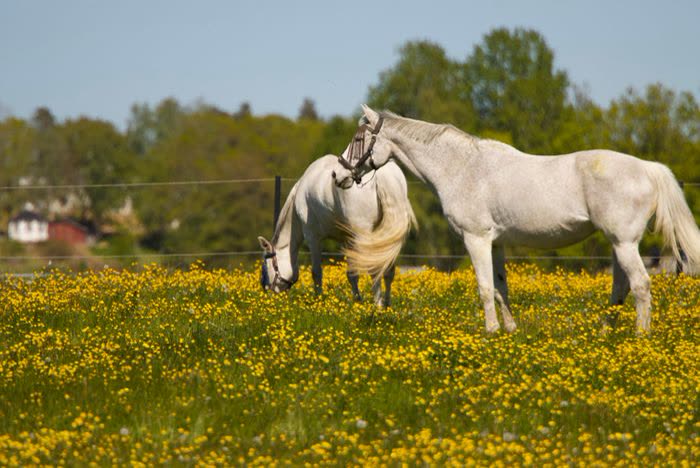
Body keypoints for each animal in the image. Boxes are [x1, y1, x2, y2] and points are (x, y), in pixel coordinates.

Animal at [258, 152, 415, 306]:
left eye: (266, 263)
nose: (265, 288)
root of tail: (381, 175)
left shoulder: (313, 238)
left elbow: (316, 273)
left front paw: (318, 301)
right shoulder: (348, 240)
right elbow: (352, 274)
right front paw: (357, 302)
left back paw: (378, 306)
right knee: (388, 271)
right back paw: (387, 305)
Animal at [332, 105, 700, 333]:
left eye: (358, 139)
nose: (338, 174)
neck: (461, 167)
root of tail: (649, 168)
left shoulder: (476, 239)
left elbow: (484, 288)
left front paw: (490, 330)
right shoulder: (496, 243)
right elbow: (500, 288)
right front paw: (509, 329)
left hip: (624, 243)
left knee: (640, 285)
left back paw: (640, 336)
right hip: (618, 244)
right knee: (620, 287)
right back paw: (605, 332)